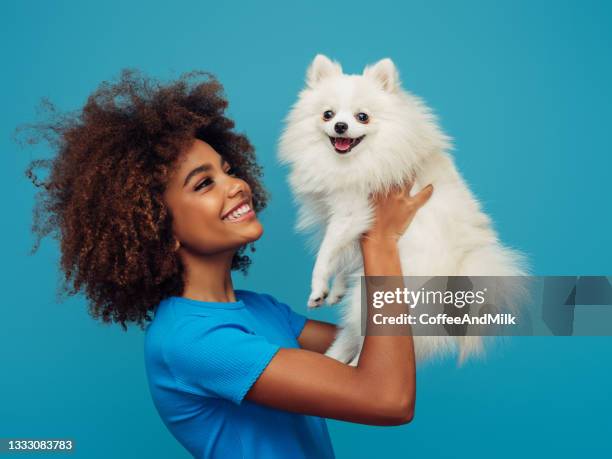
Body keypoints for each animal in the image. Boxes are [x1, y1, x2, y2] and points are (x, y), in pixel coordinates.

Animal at [278, 54, 524, 362]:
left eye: (362, 116)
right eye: (328, 114)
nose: (340, 126)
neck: (353, 162)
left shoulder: (351, 212)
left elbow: (325, 254)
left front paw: (319, 289)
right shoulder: (350, 225)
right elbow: (343, 257)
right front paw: (335, 290)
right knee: (352, 336)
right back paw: (334, 360)